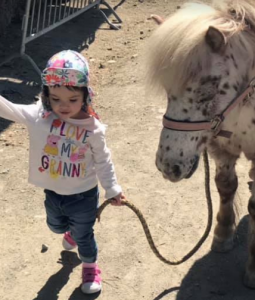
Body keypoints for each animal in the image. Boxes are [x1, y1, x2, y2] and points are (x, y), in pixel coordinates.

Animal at [147, 0, 255, 290]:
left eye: (207, 92)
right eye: (167, 91)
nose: (167, 166)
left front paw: (253, 268)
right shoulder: (221, 147)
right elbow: (225, 186)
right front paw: (222, 235)